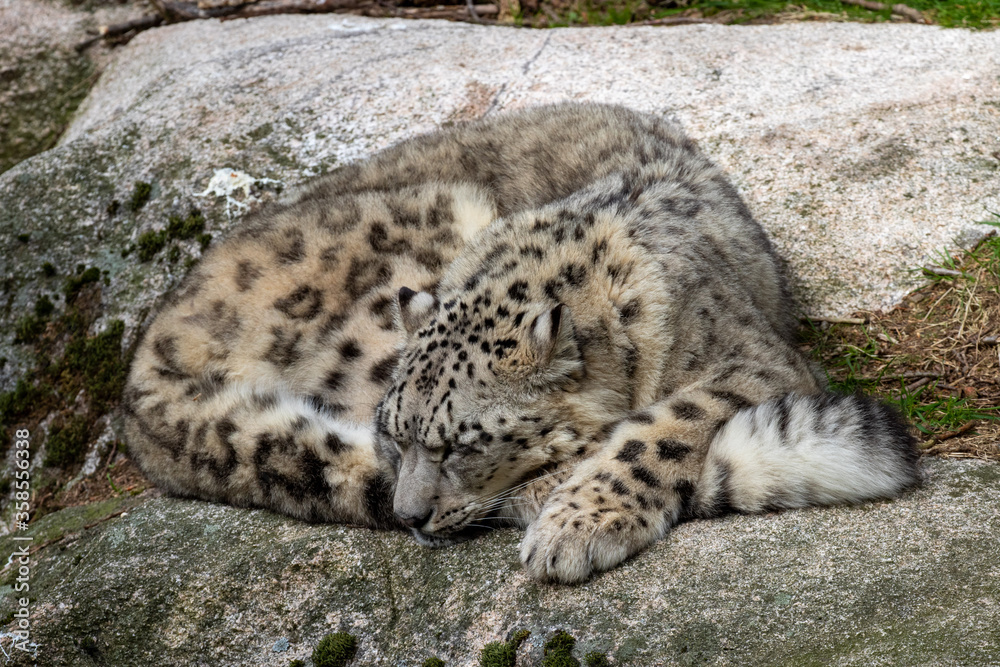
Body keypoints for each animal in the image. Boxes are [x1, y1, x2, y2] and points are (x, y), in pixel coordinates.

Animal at [124, 103, 920, 583]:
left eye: (460, 445)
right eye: (394, 435)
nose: (411, 517)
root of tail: (143, 368)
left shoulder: (750, 358)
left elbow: (664, 425)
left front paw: (576, 525)